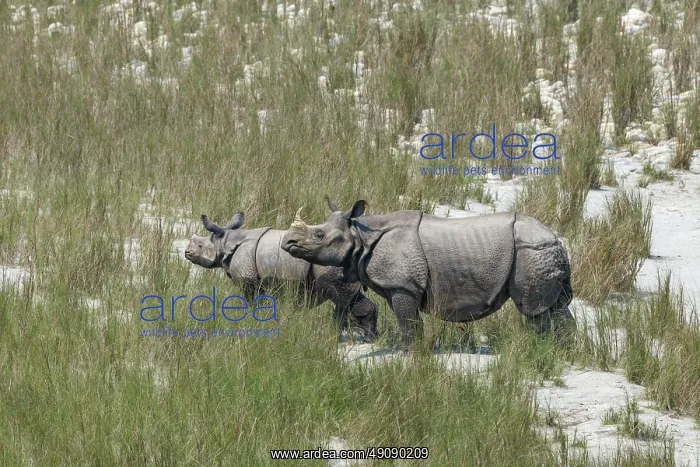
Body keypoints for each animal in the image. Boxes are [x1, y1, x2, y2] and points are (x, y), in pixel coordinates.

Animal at [184, 211, 378, 341]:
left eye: (200, 245)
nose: (186, 252)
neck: (224, 242)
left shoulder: (249, 281)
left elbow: (251, 303)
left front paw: (251, 321)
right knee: (351, 298)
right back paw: (369, 337)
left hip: (330, 263)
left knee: (340, 299)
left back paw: (341, 336)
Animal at [281, 199, 575, 347]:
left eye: (319, 235)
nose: (287, 242)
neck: (360, 234)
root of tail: (556, 238)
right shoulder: (400, 286)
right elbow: (409, 320)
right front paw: (415, 350)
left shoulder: (403, 284)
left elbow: (406, 321)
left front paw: (406, 353)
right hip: (541, 251)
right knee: (557, 307)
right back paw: (564, 351)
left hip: (531, 251)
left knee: (535, 310)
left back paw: (542, 349)